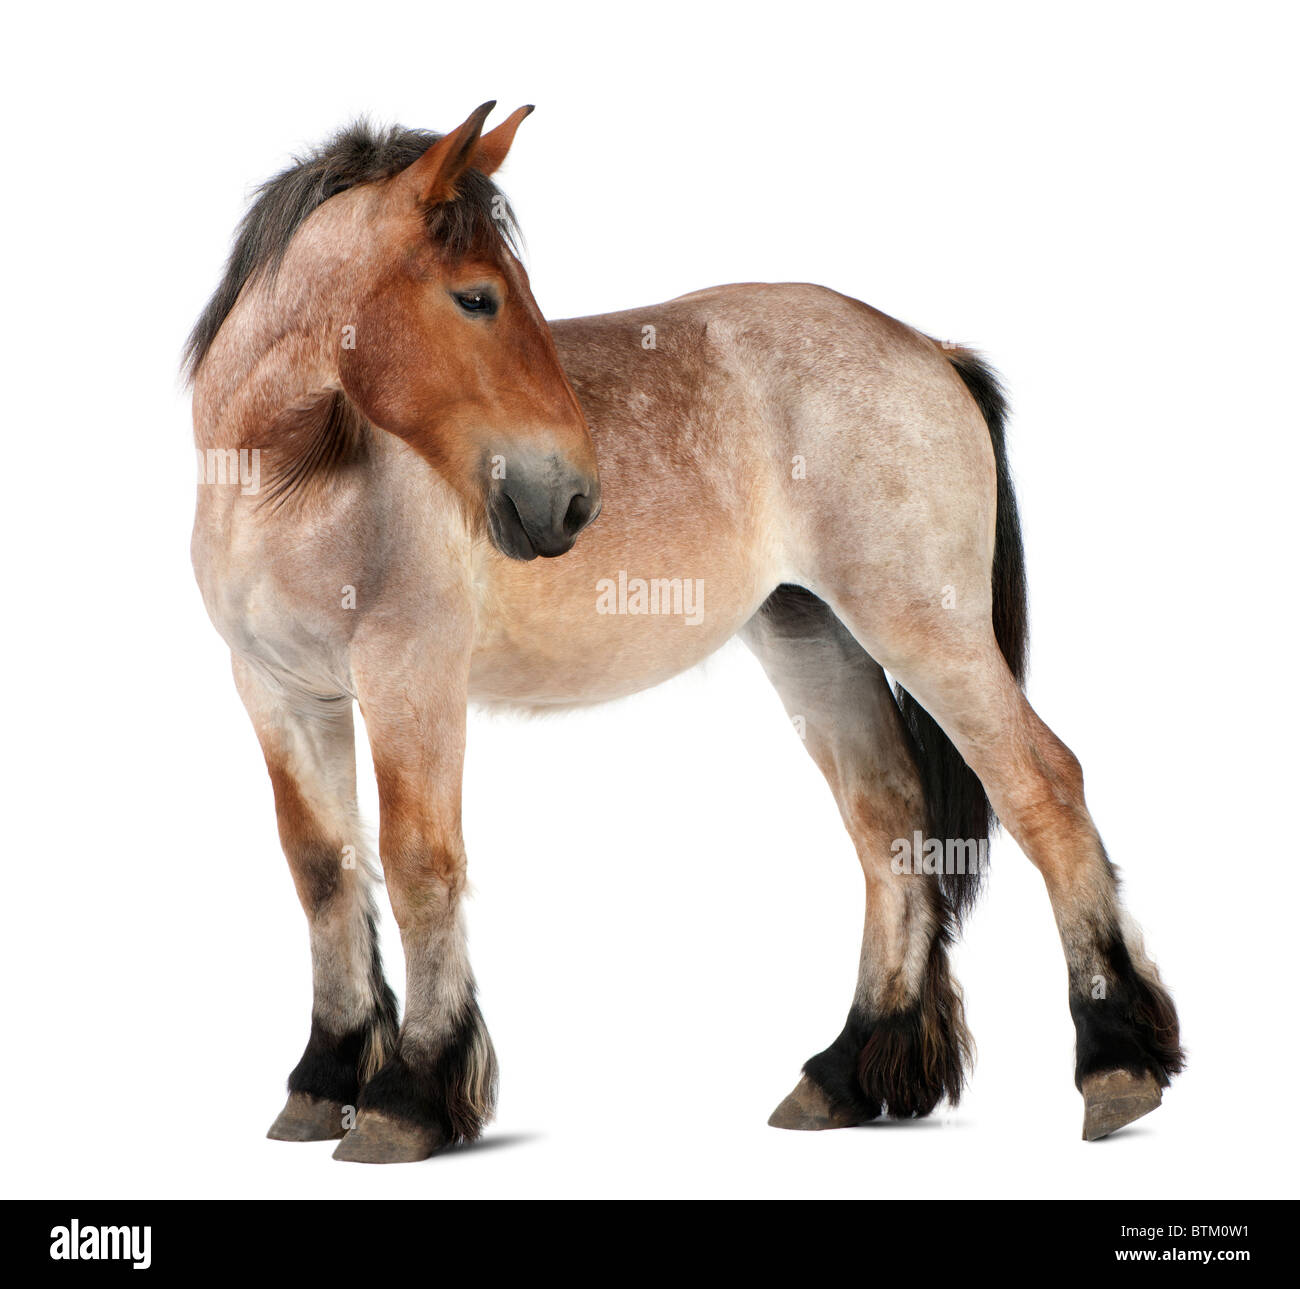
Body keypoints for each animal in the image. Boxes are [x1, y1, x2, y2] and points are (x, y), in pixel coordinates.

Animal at [188, 105, 1185, 1164]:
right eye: (477, 298)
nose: (570, 499)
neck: (292, 479)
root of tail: (927, 348)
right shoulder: (278, 689)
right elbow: (323, 869)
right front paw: (323, 1079)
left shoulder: (410, 676)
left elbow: (421, 863)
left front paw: (409, 1096)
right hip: (813, 636)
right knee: (888, 822)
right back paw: (845, 1073)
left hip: (926, 627)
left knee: (1043, 786)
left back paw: (1116, 1063)